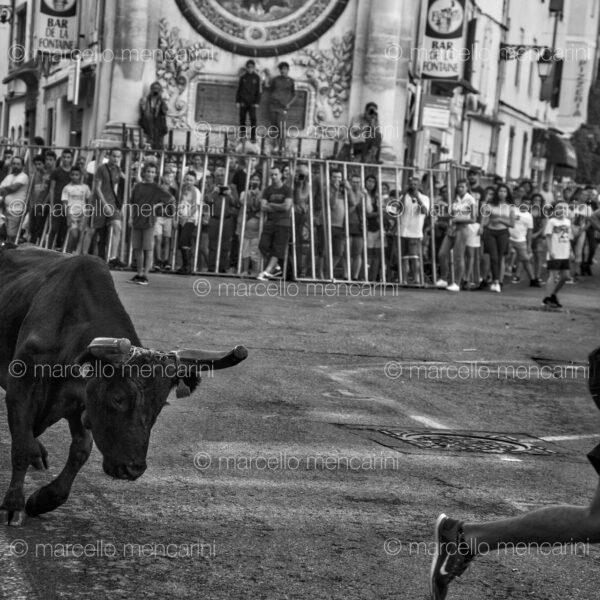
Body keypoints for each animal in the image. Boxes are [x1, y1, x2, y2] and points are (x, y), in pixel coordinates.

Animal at [0, 244, 246, 524]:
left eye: (160, 406)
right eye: (117, 398)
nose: (133, 469)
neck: (68, 329)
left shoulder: (81, 400)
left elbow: (80, 450)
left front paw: (45, 499)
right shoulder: (19, 390)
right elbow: (22, 446)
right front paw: (13, 504)